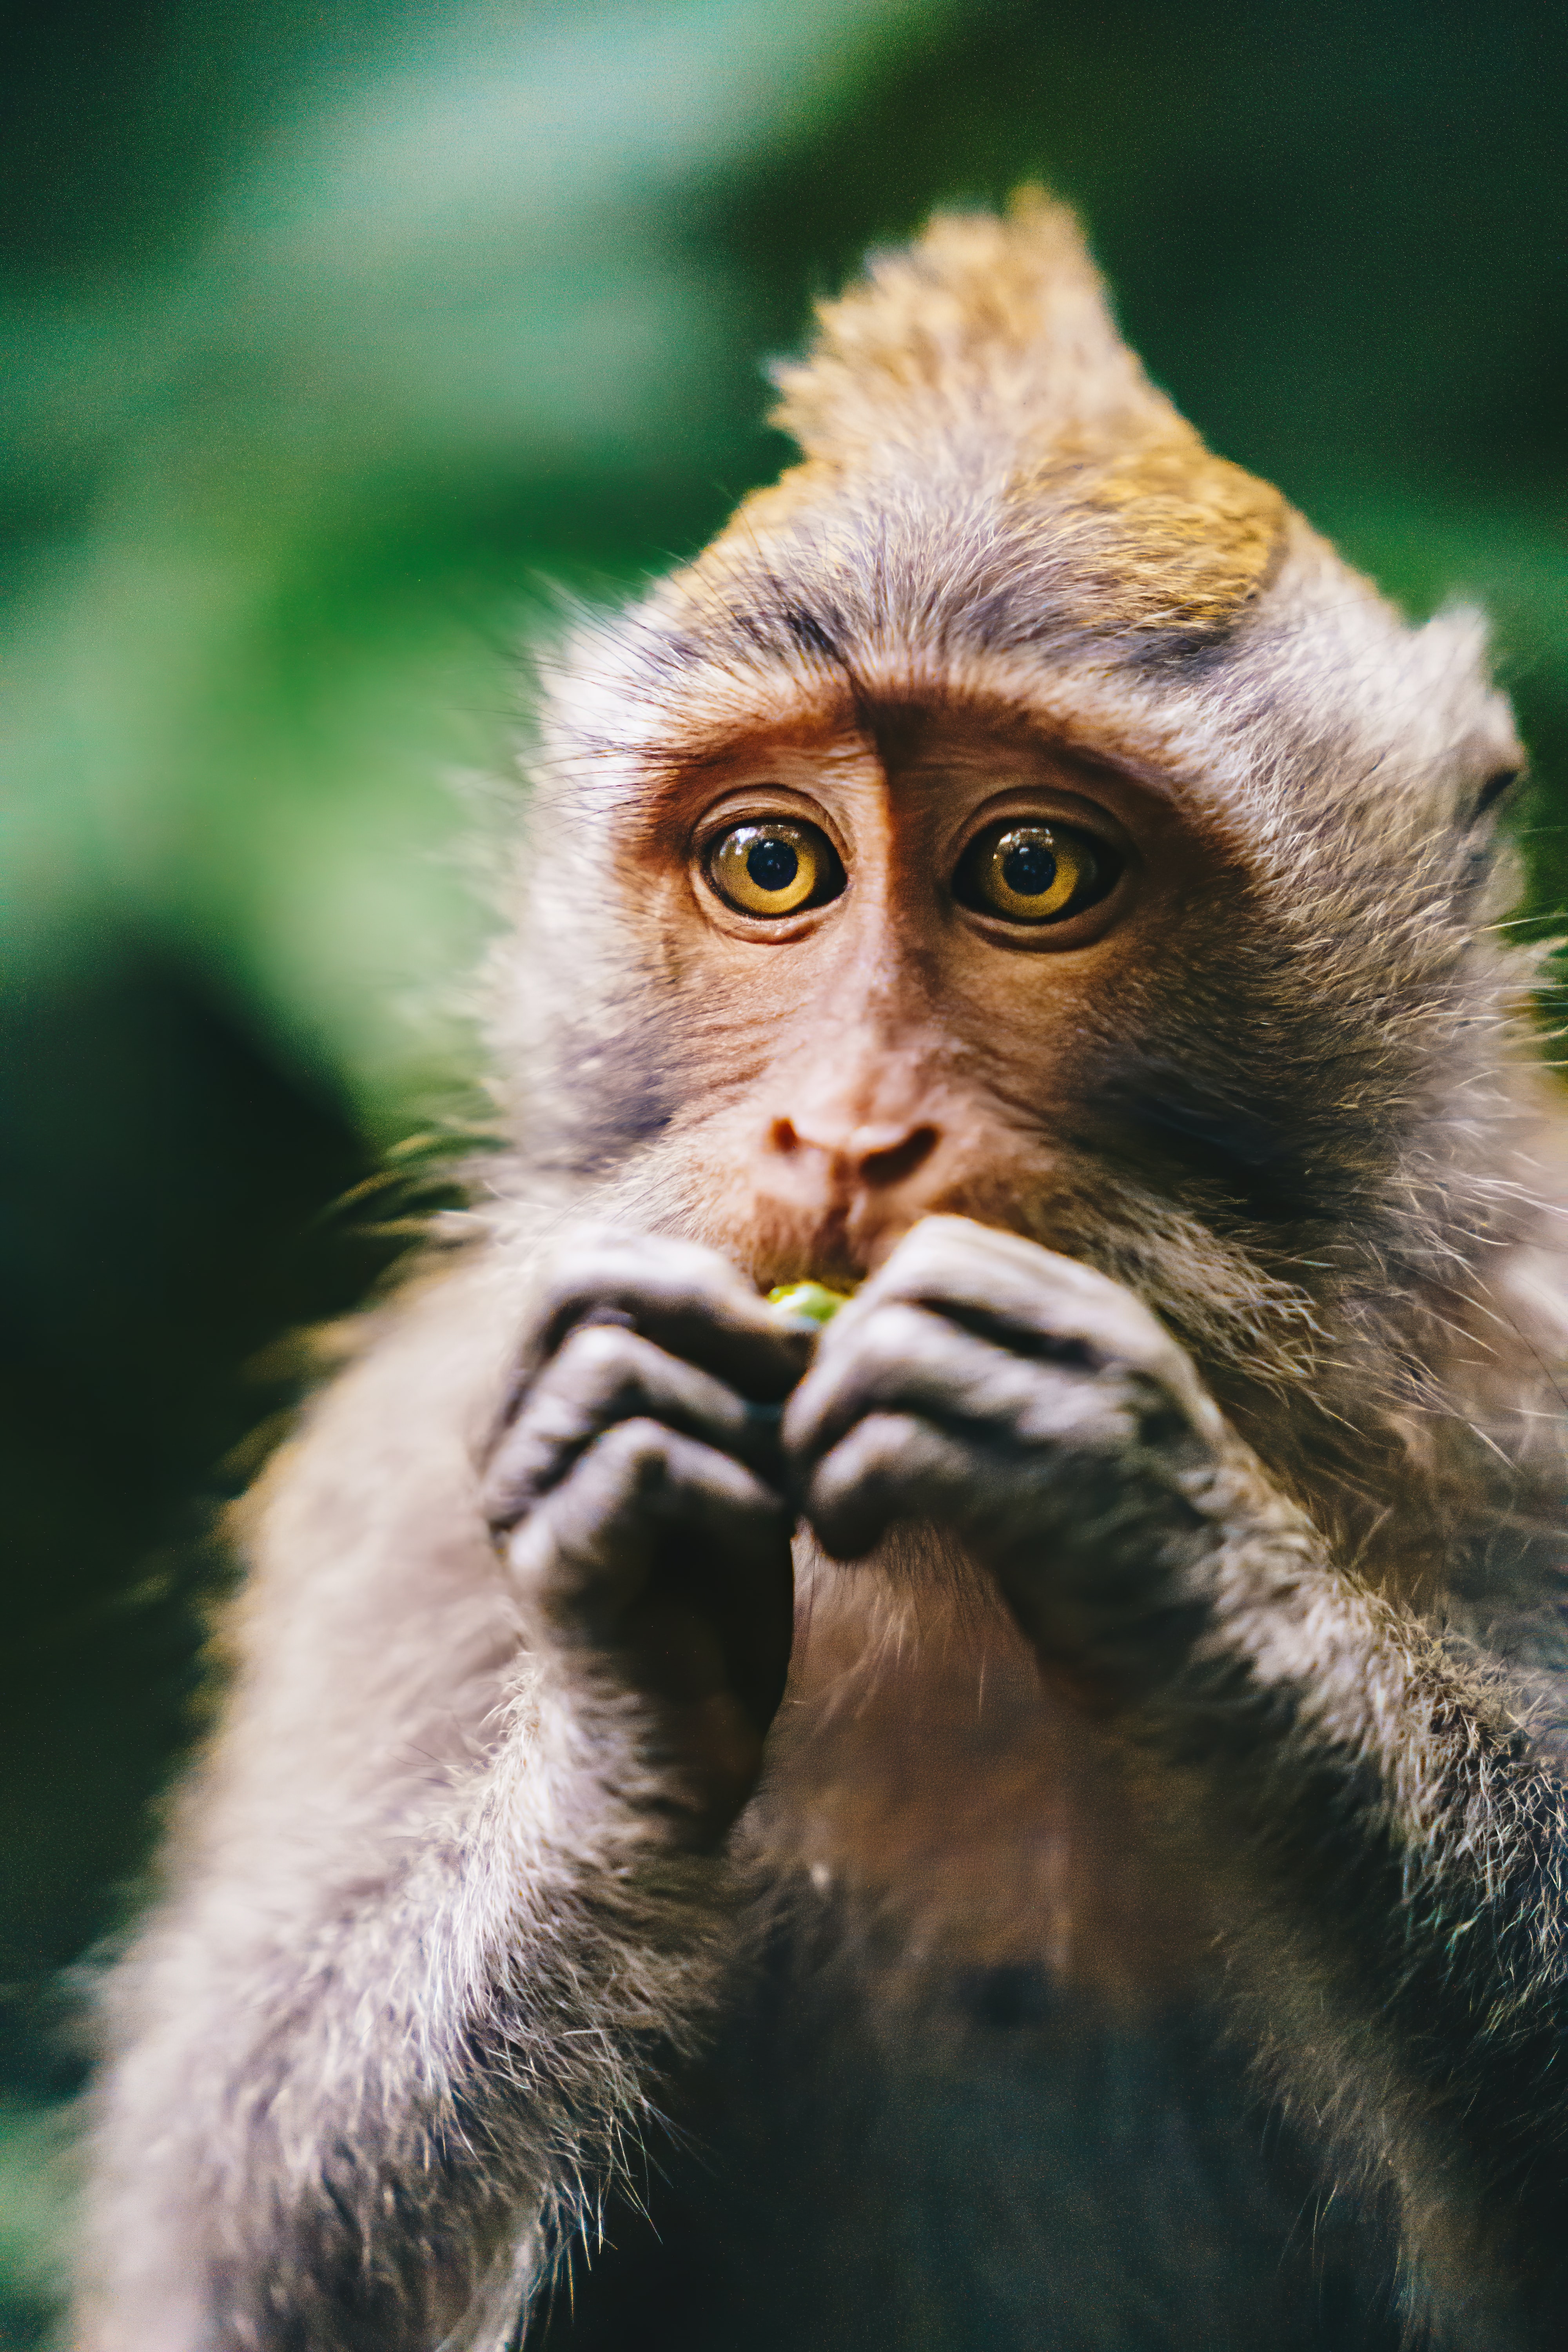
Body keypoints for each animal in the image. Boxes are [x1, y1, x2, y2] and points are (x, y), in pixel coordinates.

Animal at [78, 189, 1568, 2352]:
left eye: (1029, 868)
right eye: (771, 864)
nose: (849, 1130)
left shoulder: (1537, 1374)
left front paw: (1155, 1532)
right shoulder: (404, 1476)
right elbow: (224, 2252)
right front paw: (630, 1678)